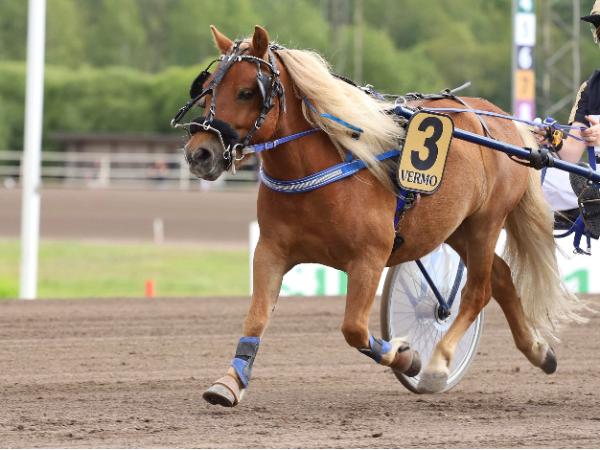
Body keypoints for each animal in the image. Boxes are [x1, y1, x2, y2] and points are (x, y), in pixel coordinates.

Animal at [176, 25, 583, 407]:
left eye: (247, 91)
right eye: (208, 89)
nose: (200, 153)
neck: (324, 170)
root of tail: (503, 121)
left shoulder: (369, 259)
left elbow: (354, 328)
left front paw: (407, 357)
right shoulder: (271, 251)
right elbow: (257, 316)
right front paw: (230, 381)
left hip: (486, 221)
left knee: (478, 291)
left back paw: (438, 364)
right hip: (455, 228)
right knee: (500, 277)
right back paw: (539, 351)